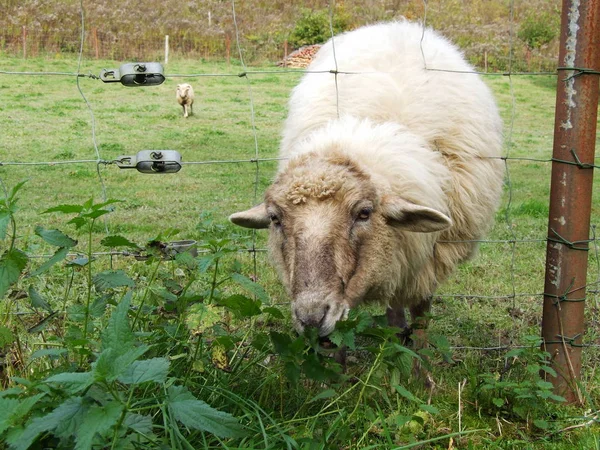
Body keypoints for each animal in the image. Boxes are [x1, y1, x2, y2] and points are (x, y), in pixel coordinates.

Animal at [230, 20, 506, 342]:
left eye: (364, 213)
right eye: (274, 218)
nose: (311, 318)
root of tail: (395, 24)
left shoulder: (427, 258)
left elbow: (421, 315)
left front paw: (418, 352)